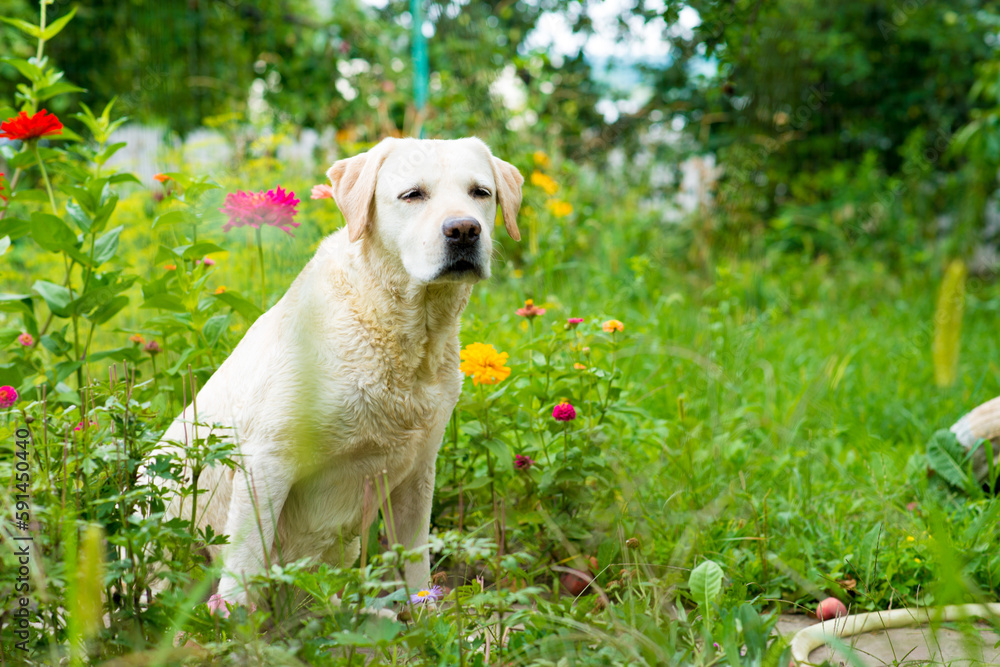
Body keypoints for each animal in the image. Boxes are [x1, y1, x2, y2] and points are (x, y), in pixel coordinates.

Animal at [154, 137, 524, 616]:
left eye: (481, 193)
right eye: (412, 195)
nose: (463, 230)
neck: (401, 332)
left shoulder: (419, 471)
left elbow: (416, 564)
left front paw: (425, 619)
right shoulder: (266, 461)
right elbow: (245, 568)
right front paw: (234, 627)